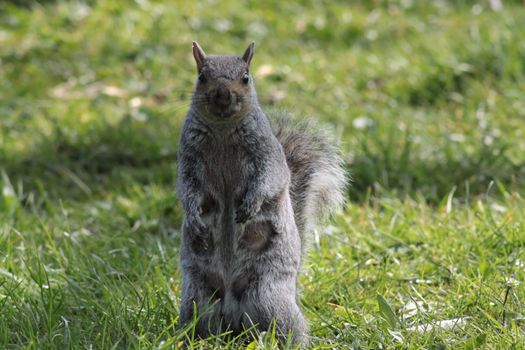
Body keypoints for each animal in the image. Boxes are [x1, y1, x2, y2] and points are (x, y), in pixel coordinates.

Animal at [177, 42, 348, 346]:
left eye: (246, 77)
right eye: (201, 77)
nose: (222, 95)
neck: (222, 130)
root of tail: (232, 314)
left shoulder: (267, 155)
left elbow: (268, 180)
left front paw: (250, 205)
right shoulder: (188, 159)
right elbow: (188, 190)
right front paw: (194, 217)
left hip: (267, 295)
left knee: (285, 327)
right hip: (199, 298)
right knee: (203, 324)